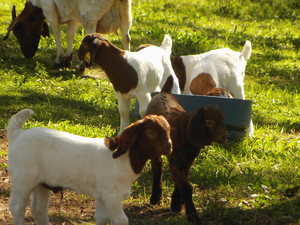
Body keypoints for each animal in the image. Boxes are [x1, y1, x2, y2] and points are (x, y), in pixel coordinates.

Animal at [2, 0, 131, 67]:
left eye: (18, 32)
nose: (27, 55)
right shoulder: (73, 18)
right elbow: (70, 35)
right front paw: (68, 58)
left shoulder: (49, 8)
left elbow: (57, 33)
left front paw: (59, 59)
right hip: (125, 12)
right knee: (126, 37)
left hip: (89, 16)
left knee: (91, 36)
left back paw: (81, 66)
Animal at [6, 109, 171, 225]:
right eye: (151, 132)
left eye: (169, 130)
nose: (169, 147)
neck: (123, 158)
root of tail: (17, 134)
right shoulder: (112, 195)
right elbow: (121, 220)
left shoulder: (102, 195)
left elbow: (101, 217)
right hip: (23, 179)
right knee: (17, 207)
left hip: (42, 184)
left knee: (38, 210)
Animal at [145, 76, 227, 225]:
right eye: (209, 122)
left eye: (222, 120)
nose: (224, 136)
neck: (185, 134)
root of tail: (164, 92)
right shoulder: (176, 160)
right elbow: (185, 186)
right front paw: (192, 215)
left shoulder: (188, 160)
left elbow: (182, 181)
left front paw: (176, 204)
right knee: (157, 165)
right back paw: (155, 197)